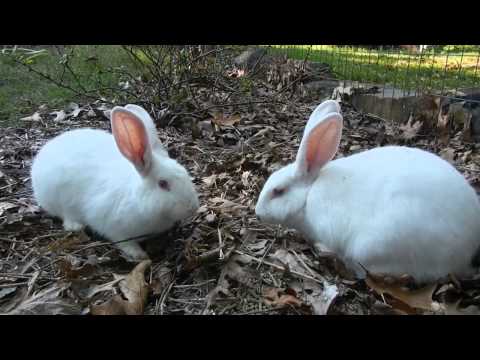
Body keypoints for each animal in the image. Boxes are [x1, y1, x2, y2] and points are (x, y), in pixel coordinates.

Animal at [30, 103, 199, 258]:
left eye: (185, 173)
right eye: (163, 184)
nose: (193, 207)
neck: (136, 198)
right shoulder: (112, 227)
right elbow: (123, 242)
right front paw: (139, 255)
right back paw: (75, 225)